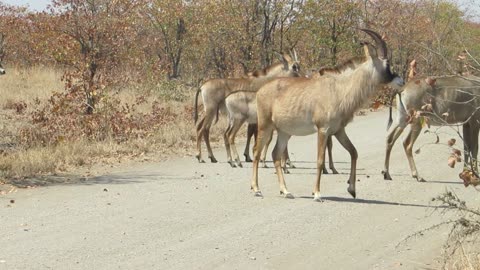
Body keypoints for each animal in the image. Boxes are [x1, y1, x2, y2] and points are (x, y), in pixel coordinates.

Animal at [249, 29, 404, 201]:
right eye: (387, 64)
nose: (401, 81)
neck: (340, 90)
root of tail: (261, 90)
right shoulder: (323, 129)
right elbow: (320, 160)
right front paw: (317, 193)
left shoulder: (339, 131)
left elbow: (354, 152)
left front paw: (352, 189)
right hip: (265, 126)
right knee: (256, 152)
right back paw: (256, 189)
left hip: (284, 132)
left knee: (276, 154)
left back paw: (286, 191)